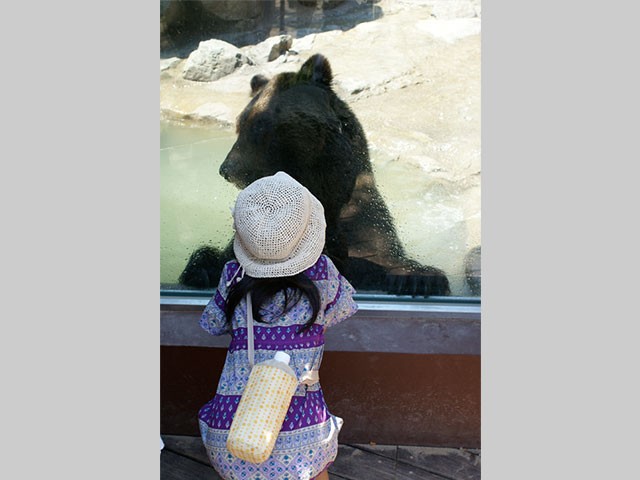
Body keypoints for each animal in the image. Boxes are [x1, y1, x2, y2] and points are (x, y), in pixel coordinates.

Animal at [179, 52, 450, 296]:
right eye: (240, 124)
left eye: (259, 124)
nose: (227, 169)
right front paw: (200, 268)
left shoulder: (362, 223)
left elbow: (377, 259)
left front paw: (421, 278)